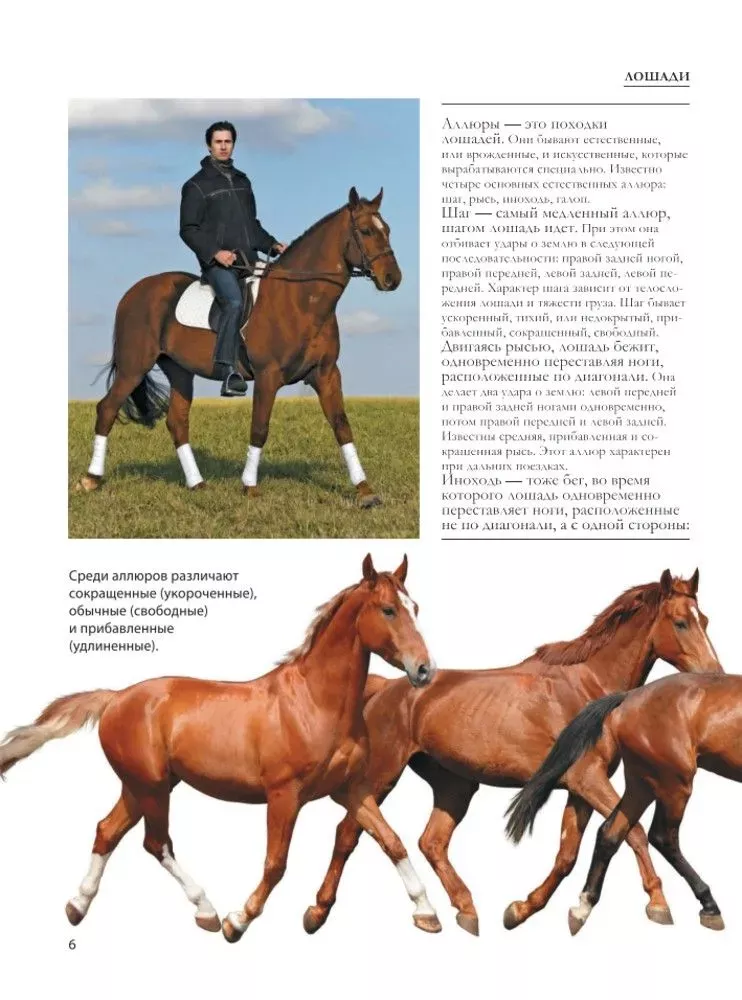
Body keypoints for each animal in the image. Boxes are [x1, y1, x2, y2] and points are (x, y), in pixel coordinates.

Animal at [0, 555, 442, 941]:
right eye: (388, 610)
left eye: (417, 607)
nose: (424, 669)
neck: (315, 703)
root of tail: (114, 698)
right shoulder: (284, 796)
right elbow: (276, 864)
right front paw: (238, 921)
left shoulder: (351, 790)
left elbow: (391, 841)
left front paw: (427, 914)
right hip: (151, 787)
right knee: (155, 843)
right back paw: (207, 911)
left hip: (142, 787)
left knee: (107, 831)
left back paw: (77, 906)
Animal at [76, 188, 401, 506]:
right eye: (366, 231)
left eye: (387, 230)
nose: (393, 279)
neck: (299, 301)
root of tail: (133, 293)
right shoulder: (268, 376)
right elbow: (259, 428)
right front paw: (249, 487)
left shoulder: (326, 374)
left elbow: (342, 426)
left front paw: (365, 491)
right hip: (134, 366)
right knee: (107, 408)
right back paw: (91, 479)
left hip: (179, 371)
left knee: (177, 422)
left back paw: (197, 484)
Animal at [508, 673, 741, 935]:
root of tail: (627, 697)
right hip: (674, 782)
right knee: (662, 837)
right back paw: (708, 906)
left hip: (643, 783)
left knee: (611, 833)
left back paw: (582, 908)